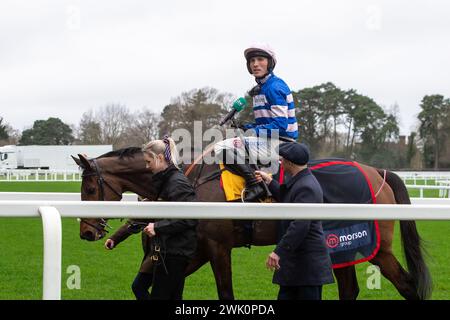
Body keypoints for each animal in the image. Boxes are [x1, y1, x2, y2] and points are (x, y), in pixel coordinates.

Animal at [73, 148, 432, 300]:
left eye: (89, 188)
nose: (86, 232)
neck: (190, 184)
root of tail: (379, 172)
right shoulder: (195, 251)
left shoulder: (217, 247)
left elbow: (225, 293)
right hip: (342, 245)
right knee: (350, 289)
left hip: (377, 247)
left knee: (407, 285)